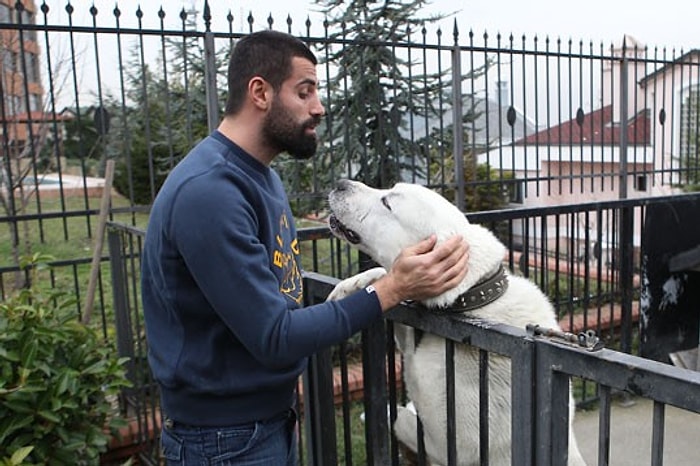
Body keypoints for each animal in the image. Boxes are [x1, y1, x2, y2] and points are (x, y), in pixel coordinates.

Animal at [326, 179, 584, 466]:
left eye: (387, 202)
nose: (340, 184)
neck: (472, 299)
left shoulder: (450, 443)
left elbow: (398, 415)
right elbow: (387, 280)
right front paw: (351, 286)